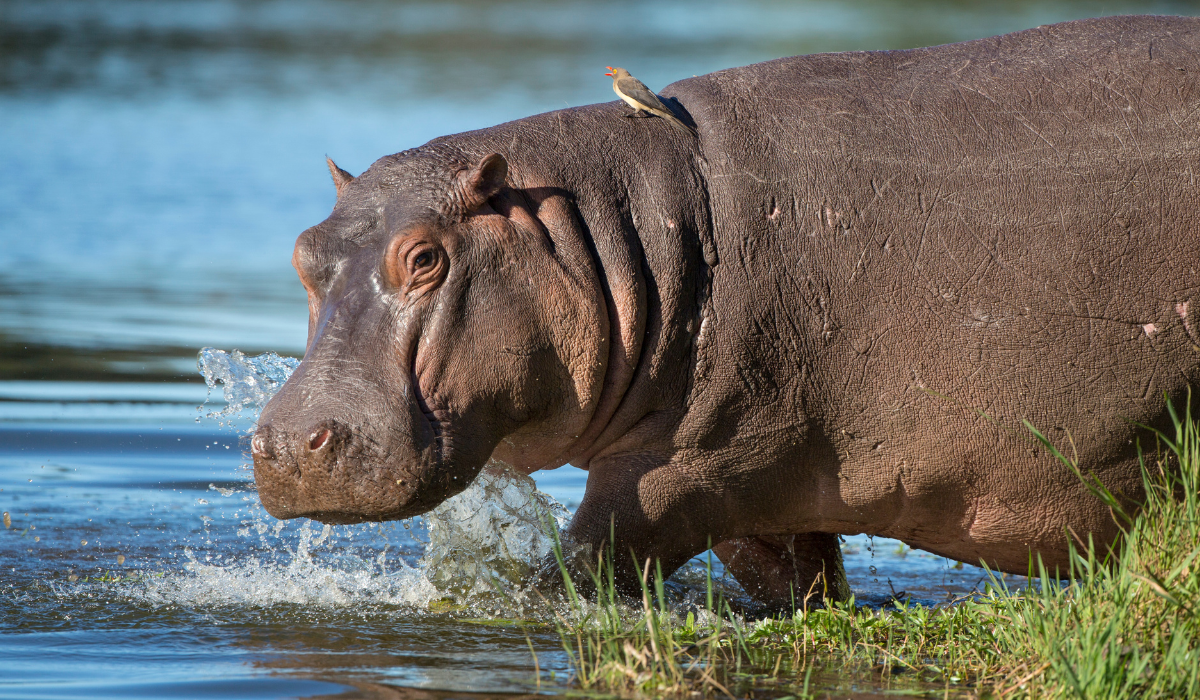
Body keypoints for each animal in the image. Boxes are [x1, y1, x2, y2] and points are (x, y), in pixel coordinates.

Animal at [250, 13, 1200, 609]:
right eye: (302, 251)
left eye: (425, 257)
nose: (289, 443)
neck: (609, 231)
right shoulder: (769, 486)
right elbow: (798, 584)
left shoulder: (689, 467)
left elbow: (579, 568)